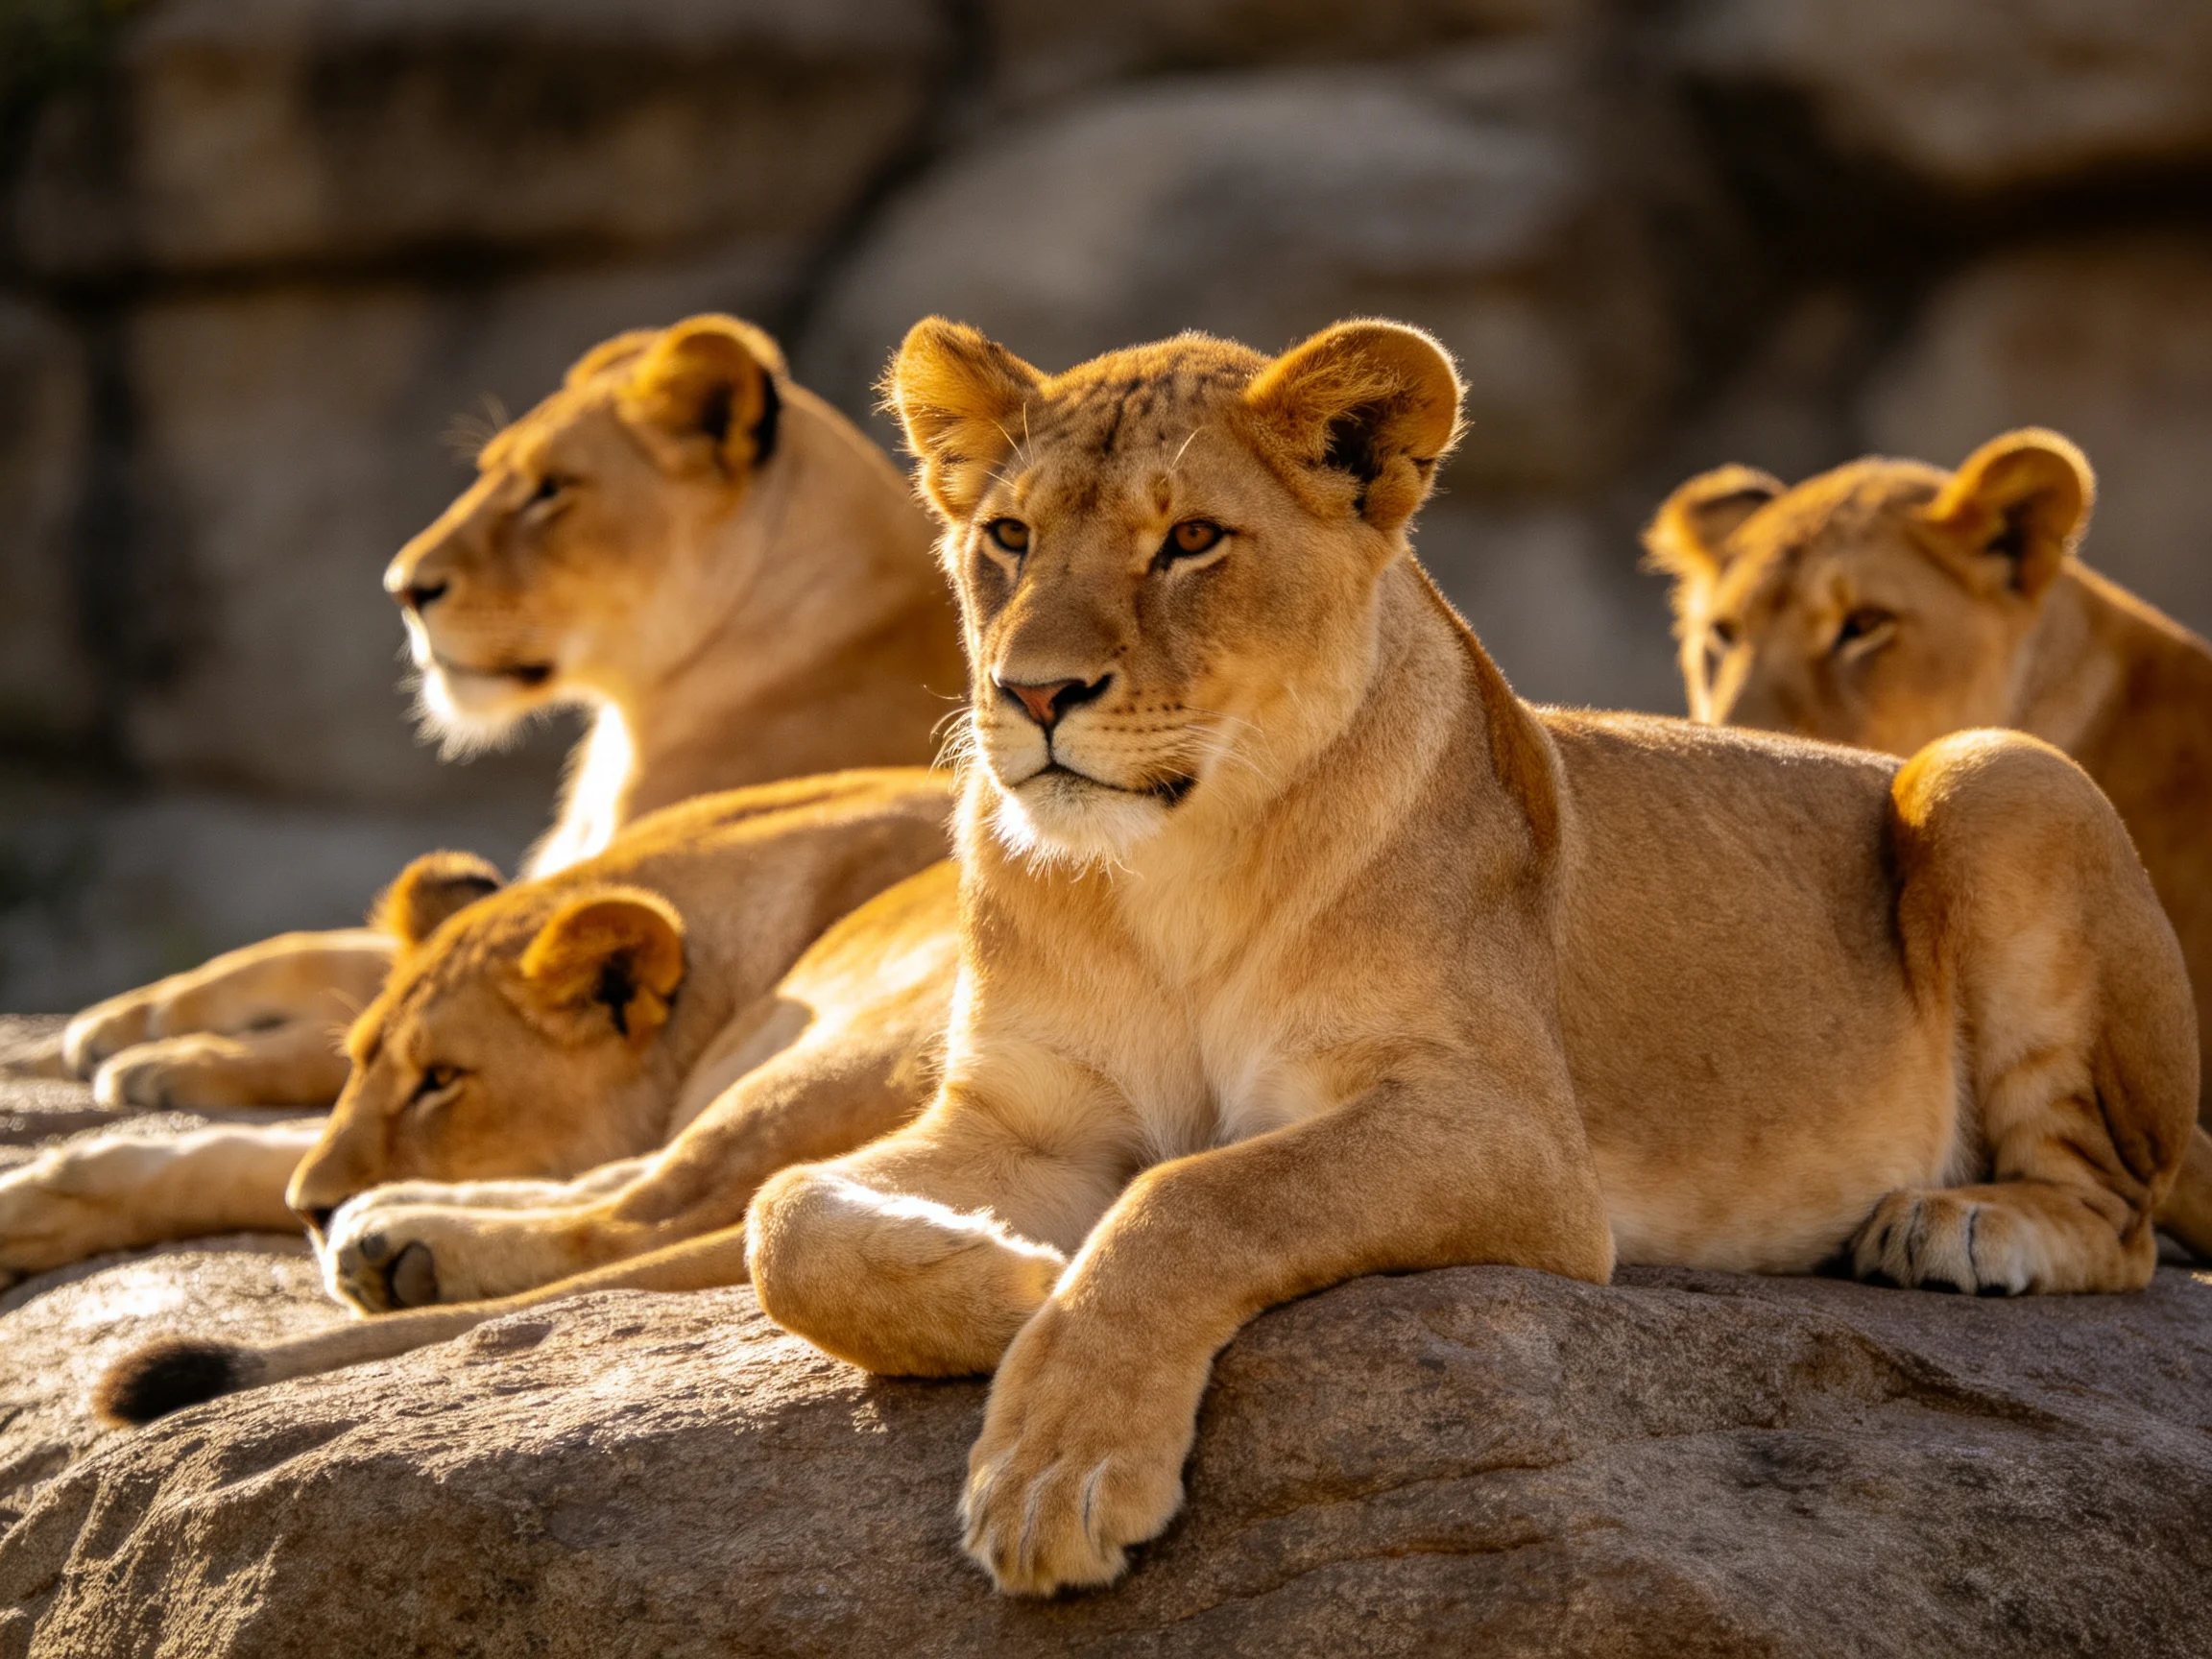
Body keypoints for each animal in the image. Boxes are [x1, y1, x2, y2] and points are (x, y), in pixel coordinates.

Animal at [0, 772, 954, 1288]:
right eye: (359, 1064)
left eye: (442, 1080)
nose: (310, 1212)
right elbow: (233, 1155)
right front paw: (38, 1199)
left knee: (651, 1219)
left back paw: (402, 1255)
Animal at [54, 314, 964, 1112]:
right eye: (490, 470)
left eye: (551, 490)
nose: (402, 587)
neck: (635, 709)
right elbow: (307, 951)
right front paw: (126, 1018)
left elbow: (353, 1027)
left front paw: (176, 1063)